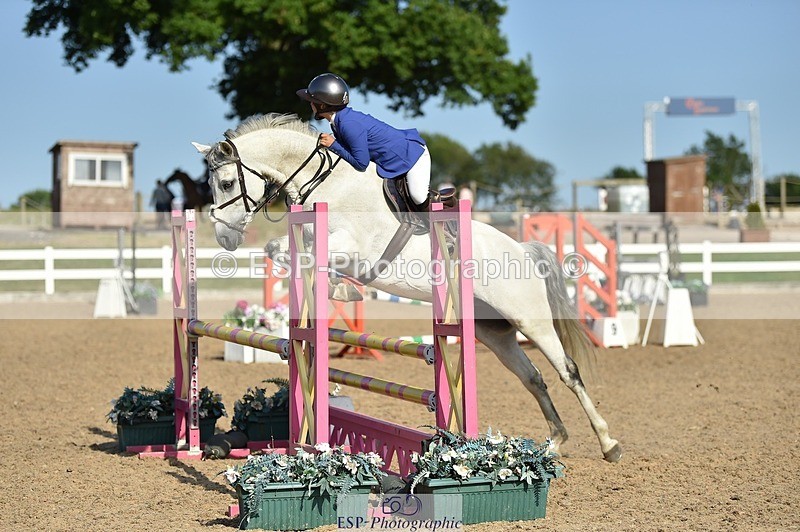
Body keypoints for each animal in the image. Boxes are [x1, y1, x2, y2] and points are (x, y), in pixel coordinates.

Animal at [192, 113, 621, 462]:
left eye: (227, 182)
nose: (225, 238)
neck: (327, 186)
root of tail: (521, 249)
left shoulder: (354, 248)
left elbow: (313, 258)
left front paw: (342, 290)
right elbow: (280, 250)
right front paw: (337, 290)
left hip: (528, 318)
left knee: (568, 371)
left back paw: (608, 444)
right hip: (492, 331)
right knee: (532, 377)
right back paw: (555, 441)